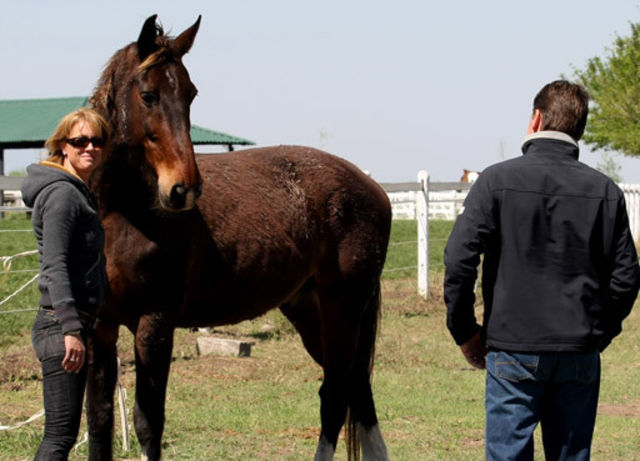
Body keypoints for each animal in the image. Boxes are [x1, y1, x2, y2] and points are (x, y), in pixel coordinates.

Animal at [86, 15, 390, 460]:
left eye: (191, 93)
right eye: (148, 95)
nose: (183, 189)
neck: (125, 215)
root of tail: (373, 189)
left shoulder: (154, 323)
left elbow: (148, 423)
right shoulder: (99, 326)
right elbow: (100, 420)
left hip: (344, 308)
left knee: (336, 395)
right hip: (311, 309)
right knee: (356, 391)